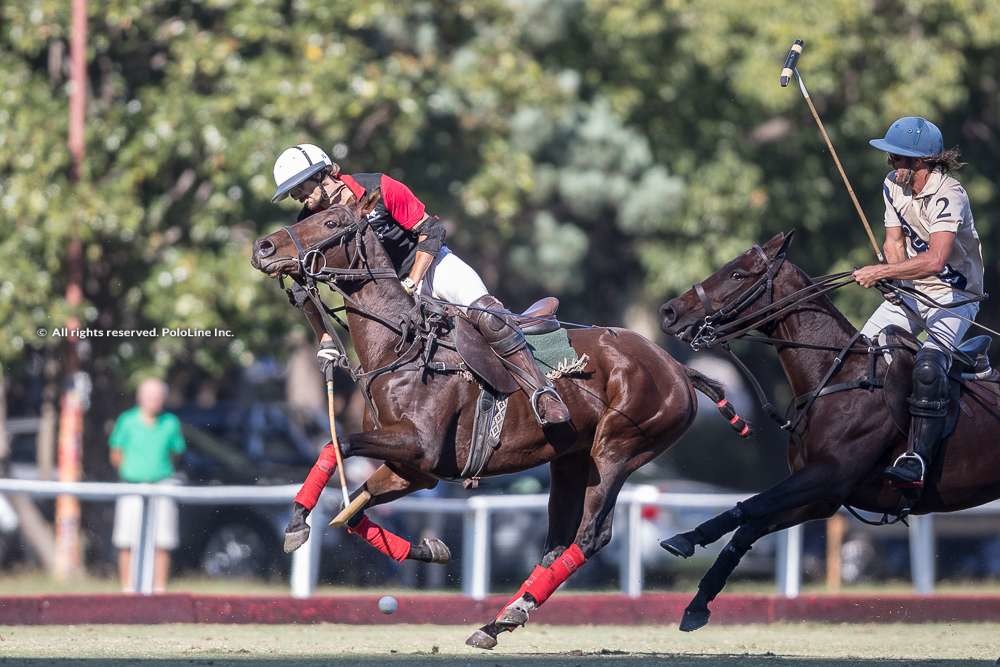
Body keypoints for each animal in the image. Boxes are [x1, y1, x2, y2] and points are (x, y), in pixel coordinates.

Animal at [252, 200, 744, 648]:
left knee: (591, 535)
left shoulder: (419, 447)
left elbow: (340, 447)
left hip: (618, 449)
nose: (263, 247)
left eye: (332, 222)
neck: (402, 344)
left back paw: (507, 616)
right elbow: (353, 509)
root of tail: (678, 368)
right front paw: (429, 549)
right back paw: (500, 620)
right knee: (557, 540)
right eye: (306, 214)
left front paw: (296, 524)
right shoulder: (417, 471)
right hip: (570, 459)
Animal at [656, 234, 1000, 632]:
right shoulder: (823, 498)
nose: (669, 311)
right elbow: (750, 525)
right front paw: (698, 604)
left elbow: (752, 506)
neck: (834, 376)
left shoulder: (828, 475)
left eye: (738, 273)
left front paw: (685, 539)